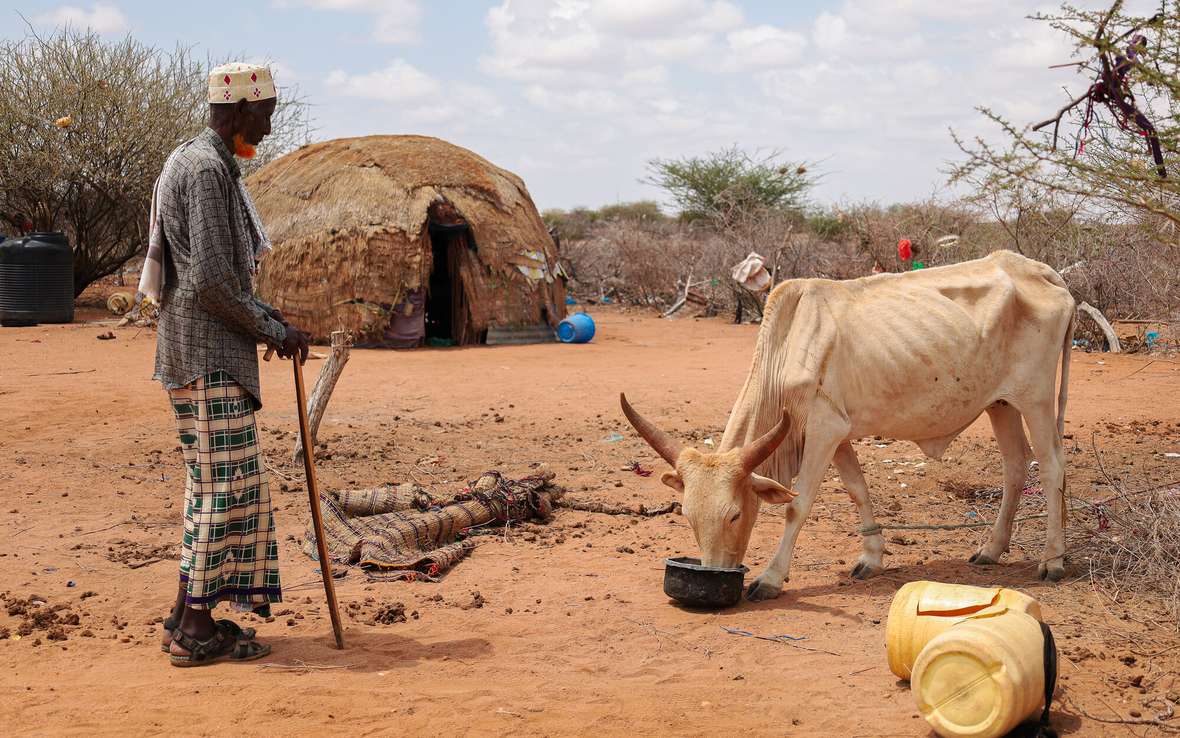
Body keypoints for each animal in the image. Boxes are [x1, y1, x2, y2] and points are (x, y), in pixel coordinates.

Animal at [623, 250, 1076, 602]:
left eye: (734, 515)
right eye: (688, 516)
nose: (716, 571)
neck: (786, 346)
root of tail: (1039, 270)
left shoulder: (824, 430)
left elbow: (798, 505)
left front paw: (770, 578)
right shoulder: (837, 434)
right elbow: (858, 490)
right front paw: (871, 558)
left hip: (1035, 398)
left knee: (1051, 465)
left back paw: (1052, 561)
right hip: (1001, 404)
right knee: (1015, 466)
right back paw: (991, 550)